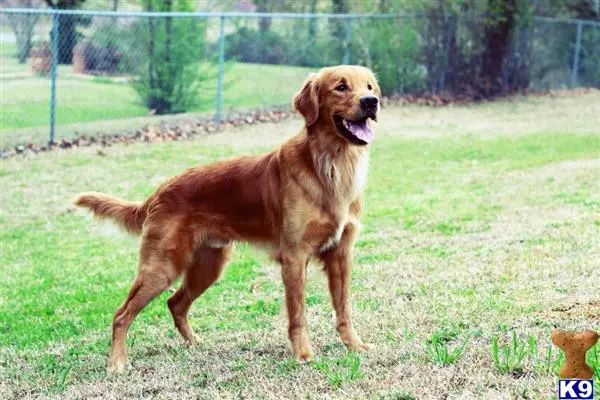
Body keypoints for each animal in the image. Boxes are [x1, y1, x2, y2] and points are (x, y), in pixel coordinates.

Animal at [75, 65, 380, 372]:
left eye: (369, 86)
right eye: (340, 87)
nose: (371, 102)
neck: (331, 165)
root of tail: (161, 190)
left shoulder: (341, 254)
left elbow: (343, 308)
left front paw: (355, 345)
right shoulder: (295, 256)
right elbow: (298, 314)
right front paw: (303, 353)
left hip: (208, 267)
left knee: (175, 303)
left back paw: (194, 344)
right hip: (162, 268)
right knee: (122, 314)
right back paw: (117, 362)